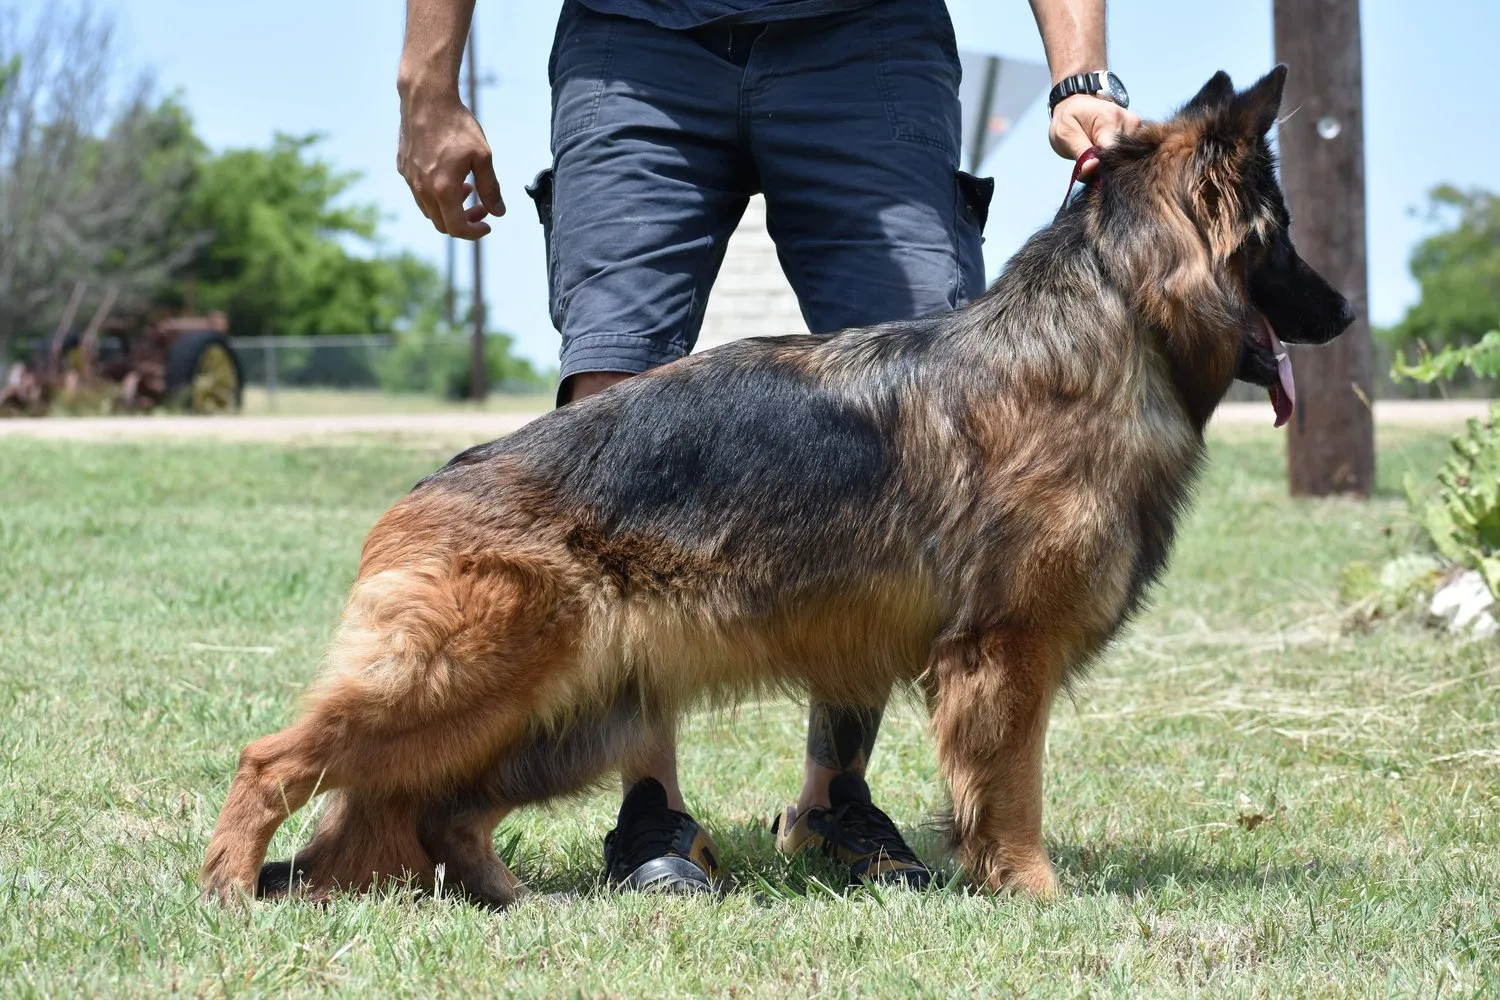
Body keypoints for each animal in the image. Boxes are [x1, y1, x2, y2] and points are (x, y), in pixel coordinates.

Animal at [202, 66, 1362, 905]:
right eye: (1285, 239)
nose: (1349, 311)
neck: (1109, 322)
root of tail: (427, 488)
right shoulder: (1005, 657)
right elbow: (1012, 794)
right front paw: (1036, 891)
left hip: (559, 719)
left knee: (438, 813)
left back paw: (514, 899)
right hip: (463, 686)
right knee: (276, 761)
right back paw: (229, 886)